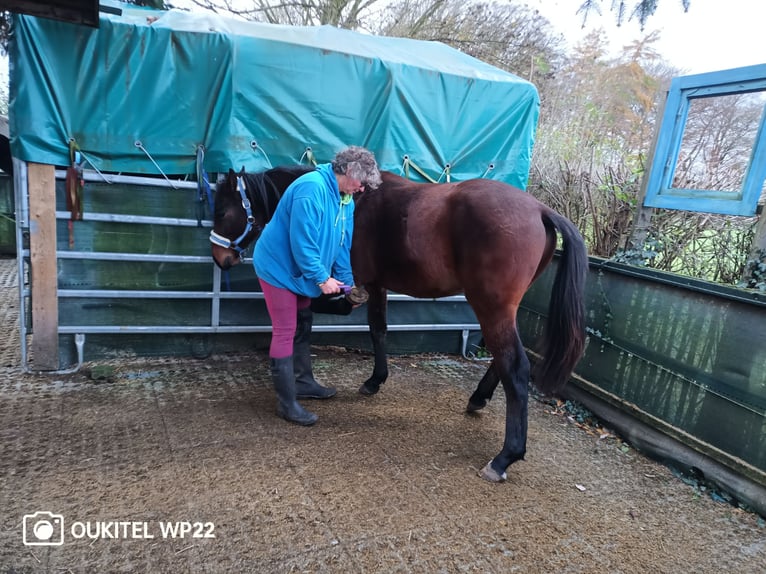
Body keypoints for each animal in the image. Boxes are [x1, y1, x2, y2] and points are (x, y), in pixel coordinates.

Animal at [210, 168, 588, 486]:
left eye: (222, 212)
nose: (220, 258)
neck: (354, 201)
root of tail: (539, 208)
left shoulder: (365, 282)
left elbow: (363, 324)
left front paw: (371, 380)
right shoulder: (376, 286)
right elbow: (377, 328)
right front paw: (373, 380)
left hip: (491, 307)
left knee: (515, 367)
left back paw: (505, 457)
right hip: (502, 310)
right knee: (502, 359)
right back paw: (478, 399)